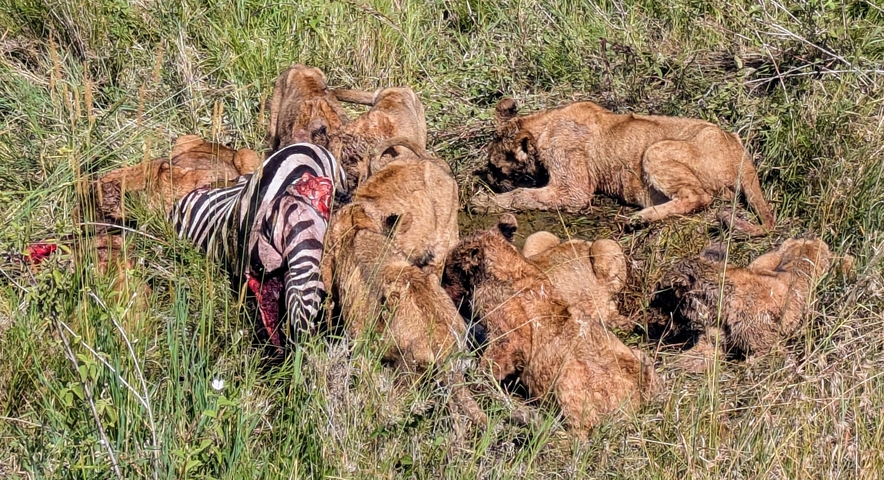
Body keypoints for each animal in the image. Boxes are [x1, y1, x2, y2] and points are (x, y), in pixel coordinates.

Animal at [321, 203, 485, 425]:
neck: (359, 229)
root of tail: (445, 345)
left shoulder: (358, 339)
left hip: (404, 370)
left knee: (391, 407)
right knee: (460, 419)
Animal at [443, 215, 659, 435]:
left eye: (448, 270)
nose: (442, 287)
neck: (511, 266)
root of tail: (636, 406)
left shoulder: (508, 332)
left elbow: (492, 363)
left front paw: (478, 379)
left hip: (567, 381)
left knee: (580, 434)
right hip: (640, 357)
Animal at [474, 98, 775, 236]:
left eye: (495, 166)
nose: (488, 177)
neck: (543, 125)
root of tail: (742, 153)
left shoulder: (574, 191)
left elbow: (522, 195)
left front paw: (483, 202)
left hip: (656, 150)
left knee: (698, 197)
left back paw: (639, 219)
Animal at [655, 237, 832, 371]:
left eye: (663, 289)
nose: (653, 302)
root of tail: (810, 238)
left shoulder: (769, 350)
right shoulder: (712, 342)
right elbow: (689, 360)